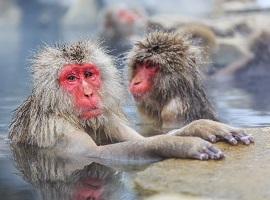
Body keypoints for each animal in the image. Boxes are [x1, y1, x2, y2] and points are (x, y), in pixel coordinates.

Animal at [7, 39, 228, 162]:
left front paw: (202, 126)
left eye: (88, 75)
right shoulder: (57, 128)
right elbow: (94, 154)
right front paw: (176, 145)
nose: (88, 93)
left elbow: (139, 141)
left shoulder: (106, 116)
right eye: (71, 78)